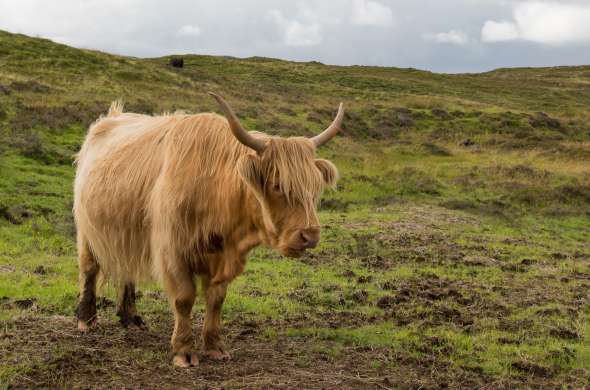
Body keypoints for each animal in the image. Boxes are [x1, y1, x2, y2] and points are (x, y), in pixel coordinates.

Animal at [74, 93, 344, 368]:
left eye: (315, 187)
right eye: (278, 185)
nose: (310, 235)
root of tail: (112, 116)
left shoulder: (222, 256)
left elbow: (216, 300)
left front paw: (215, 347)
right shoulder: (173, 251)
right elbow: (184, 299)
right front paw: (183, 351)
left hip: (126, 234)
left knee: (126, 270)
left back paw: (131, 319)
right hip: (86, 230)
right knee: (89, 268)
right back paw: (86, 319)